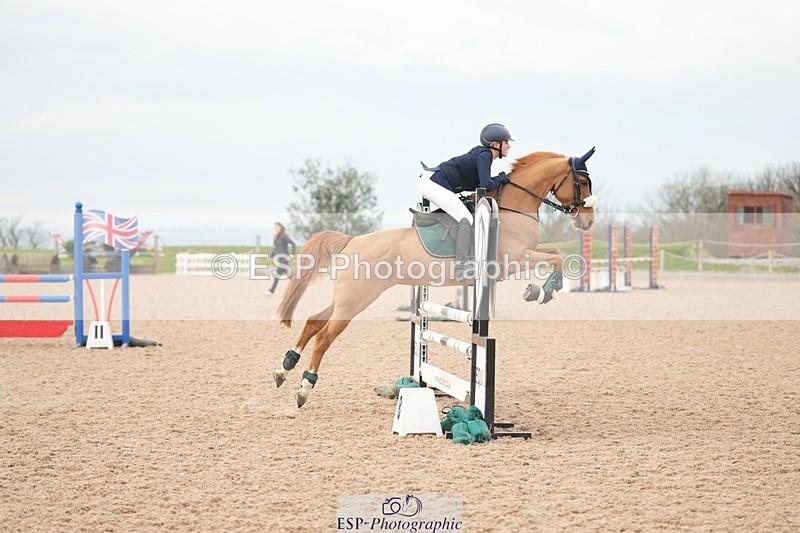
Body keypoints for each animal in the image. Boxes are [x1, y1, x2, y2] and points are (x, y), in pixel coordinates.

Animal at [273, 148, 598, 407]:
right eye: (582, 182)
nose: (588, 221)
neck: (513, 207)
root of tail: (352, 240)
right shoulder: (513, 261)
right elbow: (558, 258)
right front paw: (542, 290)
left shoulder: (527, 254)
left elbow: (557, 252)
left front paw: (543, 289)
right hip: (356, 300)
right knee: (325, 336)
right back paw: (304, 388)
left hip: (347, 298)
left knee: (314, 321)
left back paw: (284, 369)